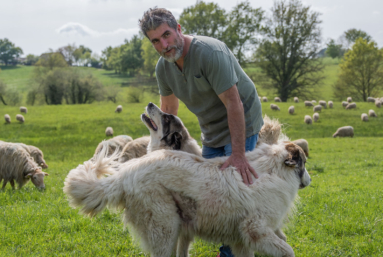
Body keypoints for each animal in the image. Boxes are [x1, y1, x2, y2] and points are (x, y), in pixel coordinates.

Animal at [64, 136, 312, 254]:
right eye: (304, 163)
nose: (310, 181)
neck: (273, 170)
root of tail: (124, 175)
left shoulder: (242, 240)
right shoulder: (256, 230)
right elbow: (288, 250)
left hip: (180, 229)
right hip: (165, 228)